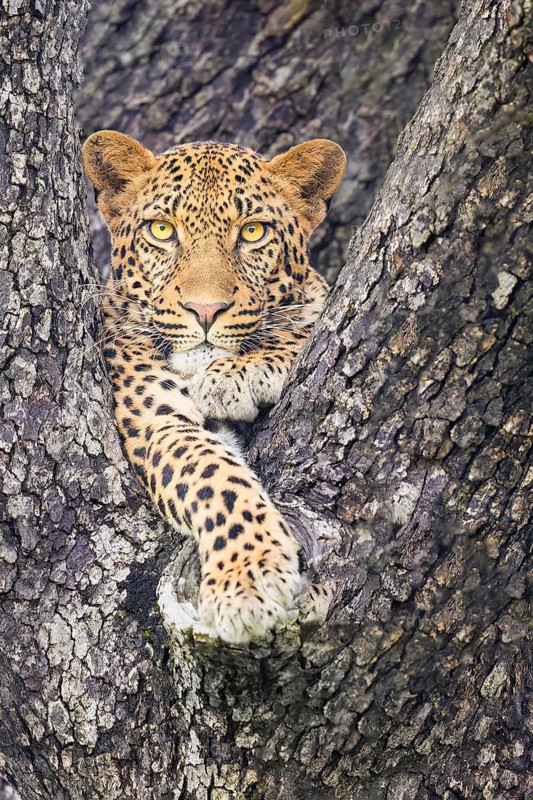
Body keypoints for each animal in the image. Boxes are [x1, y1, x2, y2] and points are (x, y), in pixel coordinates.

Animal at [82, 130, 346, 644]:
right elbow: (213, 476)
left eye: (253, 232)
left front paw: (240, 372)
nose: (205, 311)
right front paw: (249, 579)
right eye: (161, 230)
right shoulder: (158, 424)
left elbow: (309, 317)